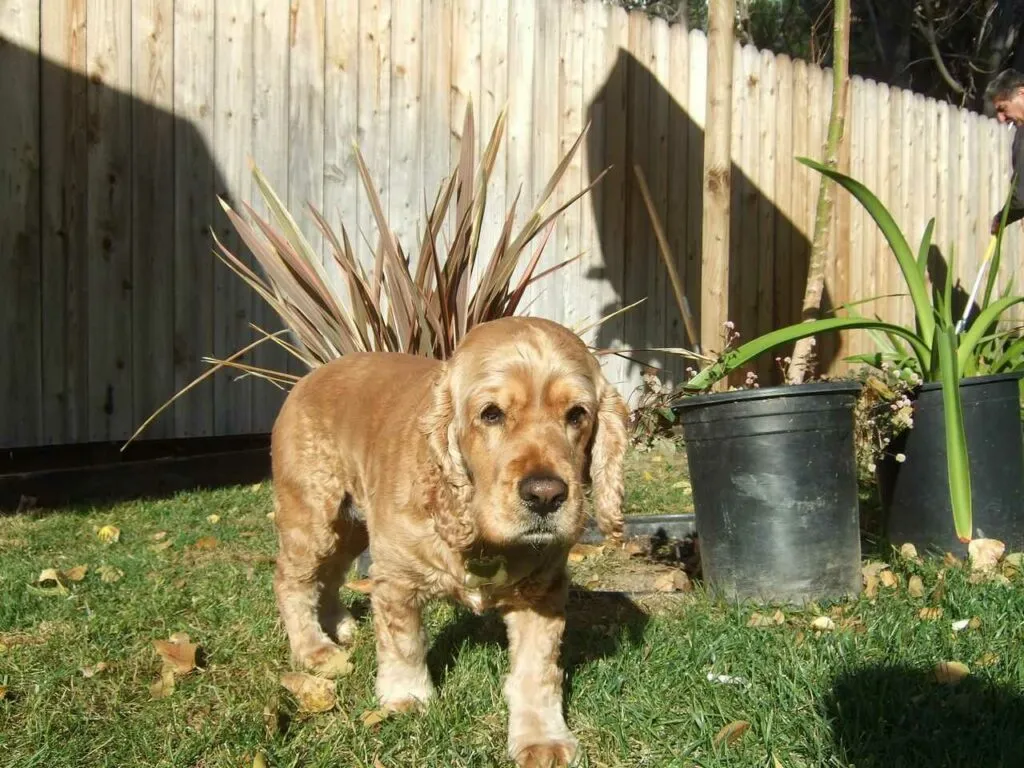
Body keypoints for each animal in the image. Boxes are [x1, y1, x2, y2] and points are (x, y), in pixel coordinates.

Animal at [272, 315, 630, 765]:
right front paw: (406, 698)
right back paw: (313, 649)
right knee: (293, 580)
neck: (479, 533)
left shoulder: (542, 591)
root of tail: (310, 376)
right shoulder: (396, 576)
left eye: (577, 414)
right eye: (491, 414)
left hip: (350, 525)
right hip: (313, 511)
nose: (546, 496)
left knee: (333, 573)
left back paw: (341, 625)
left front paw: (541, 739)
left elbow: (537, 670)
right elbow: (404, 642)